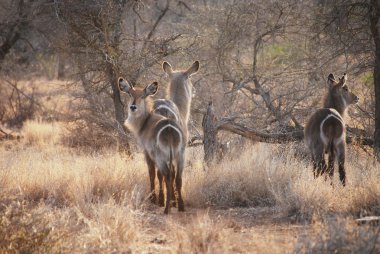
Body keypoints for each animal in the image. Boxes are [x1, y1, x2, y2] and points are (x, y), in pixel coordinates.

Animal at [117, 78, 186, 213]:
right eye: (130, 94)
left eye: (142, 96)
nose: (133, 107)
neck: (145, 121)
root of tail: (170, 128)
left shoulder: (147, 152)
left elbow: (152, 173)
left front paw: (153, 199)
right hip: (180, 155)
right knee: (178, 177)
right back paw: (180, 206)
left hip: (161, 156)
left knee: (167, 175)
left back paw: (166, 209)